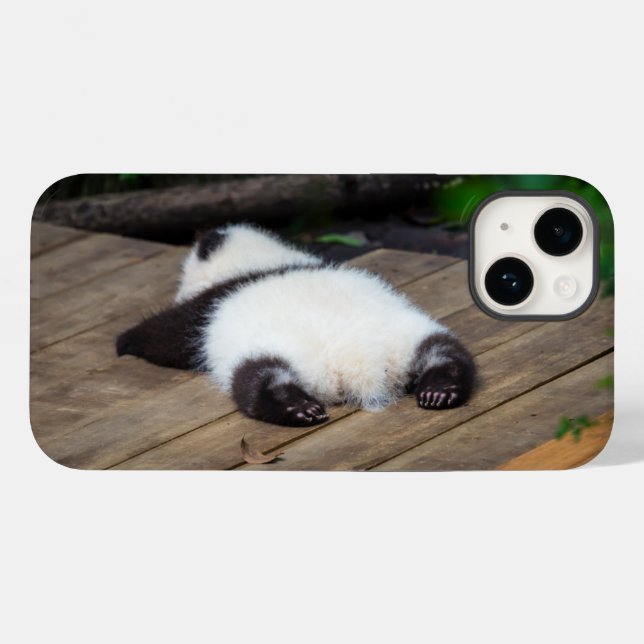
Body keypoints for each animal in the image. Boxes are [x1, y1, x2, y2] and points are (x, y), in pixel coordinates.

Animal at [116, 224, 475, 427]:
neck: (261, 261)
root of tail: (359, 363)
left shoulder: (207, 307)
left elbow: (167, 336)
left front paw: (125, 341)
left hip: (274, 352)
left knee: (257, 378)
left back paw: (296, 408)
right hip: (407, 334)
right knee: (445, 352)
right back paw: (440, 389)